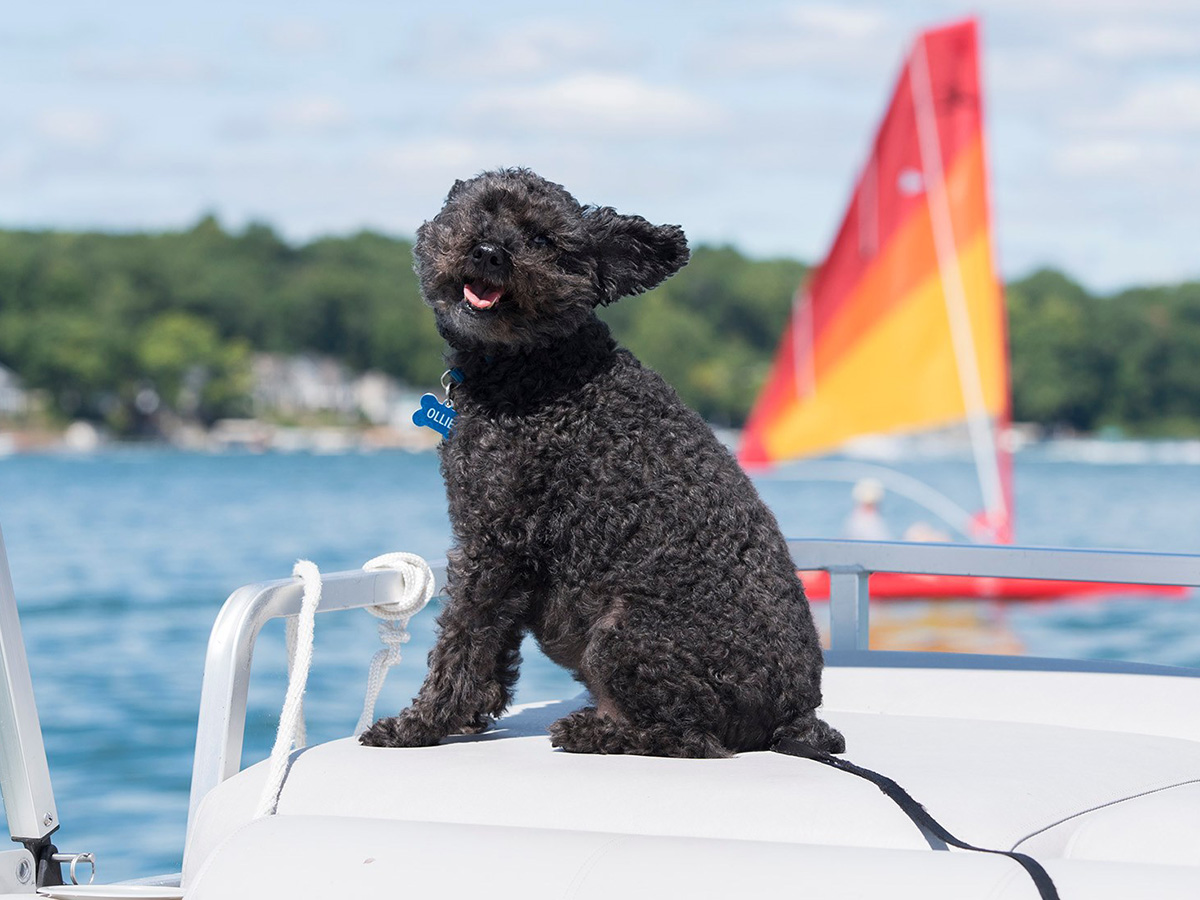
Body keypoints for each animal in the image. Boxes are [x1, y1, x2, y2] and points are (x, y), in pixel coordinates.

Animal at [357, 169, 844, 763]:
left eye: (543, 240)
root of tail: (798, 714)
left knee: (689, 737)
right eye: (482, 210)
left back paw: (592, 731)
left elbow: (462, 643)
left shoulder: (495, 544)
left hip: (623, 633)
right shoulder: (507, 556)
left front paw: (420, 724)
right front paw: (470, 716)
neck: (537, 367)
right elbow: (492, 649)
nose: (491, 252)